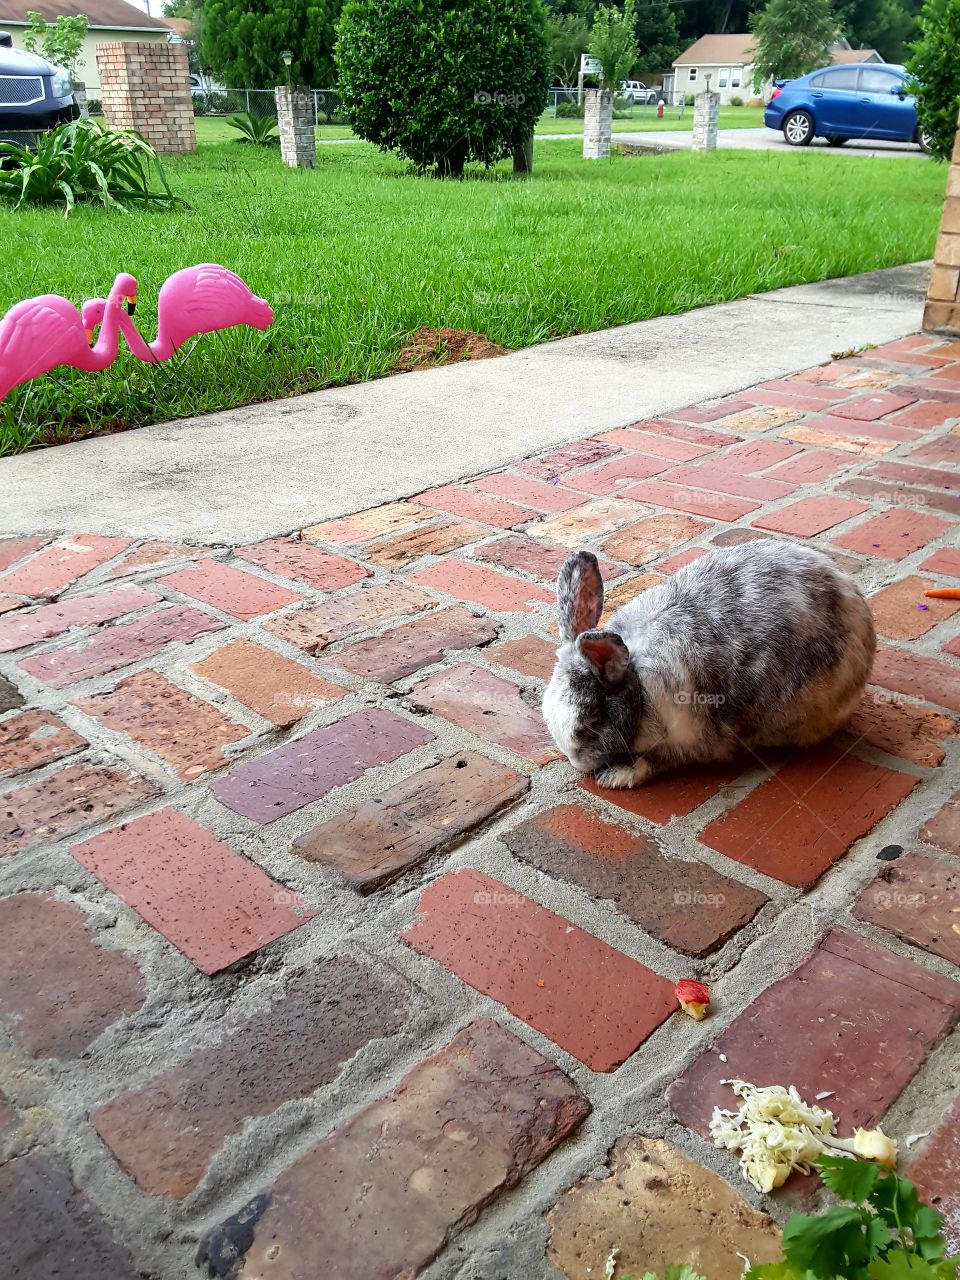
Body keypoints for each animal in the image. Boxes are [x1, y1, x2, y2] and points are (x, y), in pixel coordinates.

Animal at [542, 538, 876, 789]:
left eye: (593, 721)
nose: (578, 763)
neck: (637, 683)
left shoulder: (685, 738)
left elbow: (653, 762)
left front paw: (616, 776)